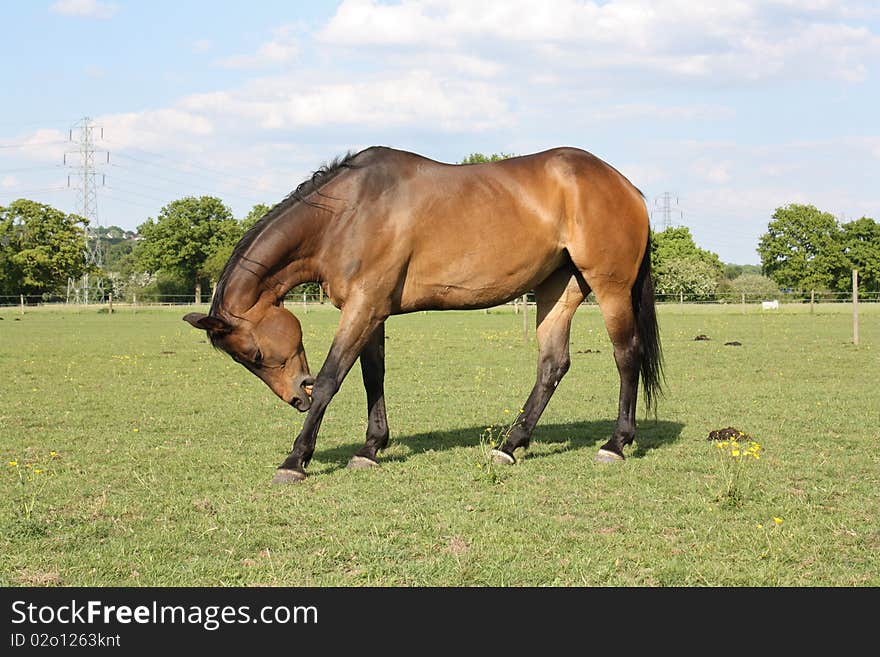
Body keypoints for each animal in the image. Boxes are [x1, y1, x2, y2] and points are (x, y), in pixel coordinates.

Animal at [182, 147, 660, 482]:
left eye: (254, 355)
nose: (297, 396)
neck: (348, 213)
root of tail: (627, 187)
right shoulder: (371, 311)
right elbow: (372, 377)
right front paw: (370, 448)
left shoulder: (363, 307)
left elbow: (333, 378)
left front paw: (296, 458)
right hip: (557, 290)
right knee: (552, 366)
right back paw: (510, 444)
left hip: (609, 288)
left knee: (626, 356)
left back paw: (616, 443)